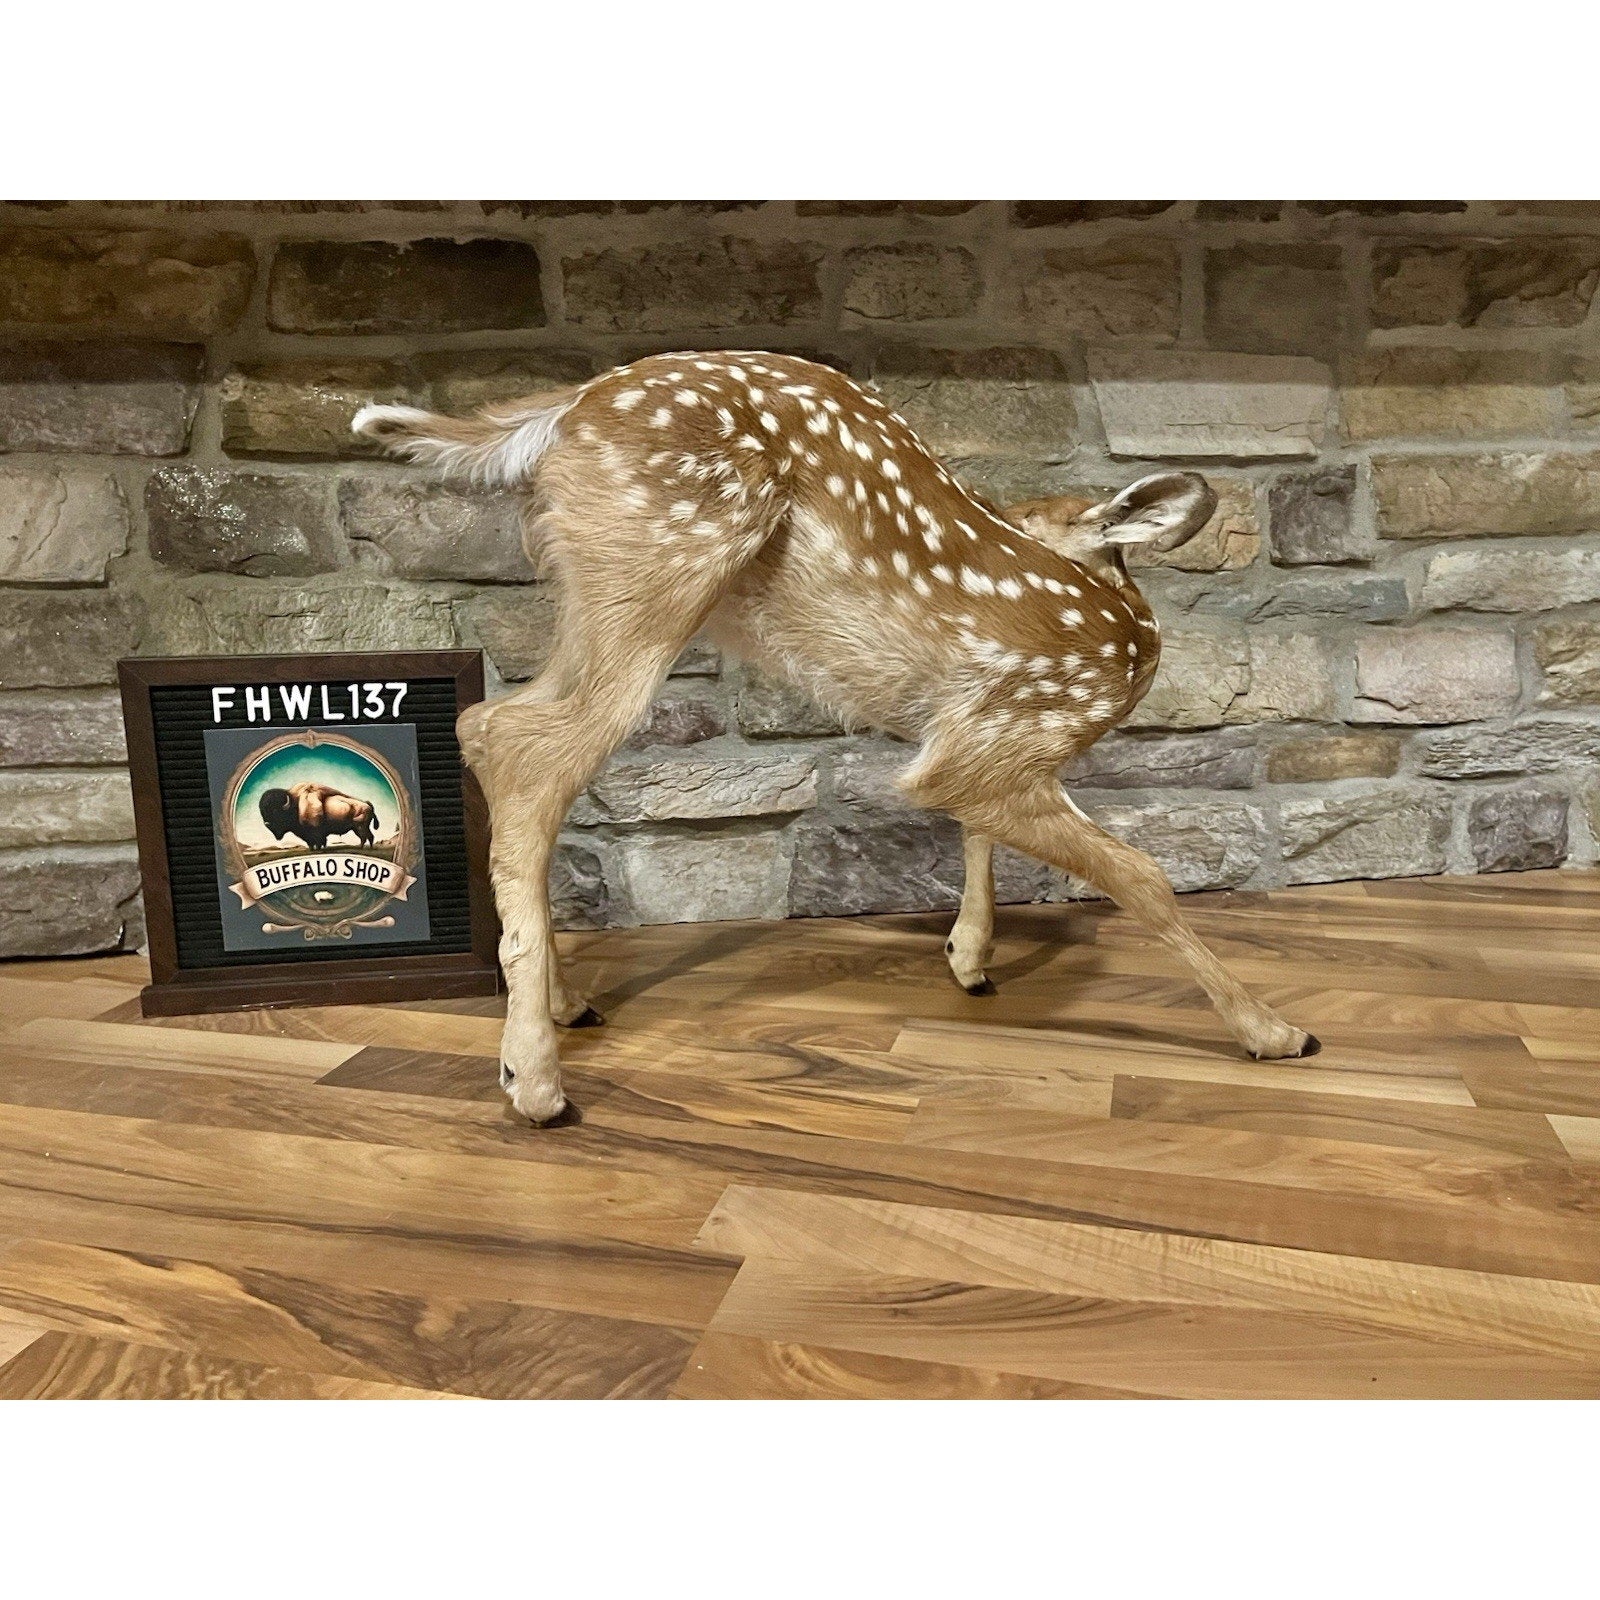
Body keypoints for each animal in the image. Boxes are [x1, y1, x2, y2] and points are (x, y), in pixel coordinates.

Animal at [354, 351, 1319, 1125]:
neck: (1124, 635)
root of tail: (572, 406)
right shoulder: (1006, 729)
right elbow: (1140, 875)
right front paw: (1274, 1030)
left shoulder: (975, 733)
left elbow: (984, 832)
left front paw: (969, 958)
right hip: (665, 561)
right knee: (525, 748)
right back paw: (536, 1083)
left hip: (601, 588)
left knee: (488, 727)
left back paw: (565, 1008)